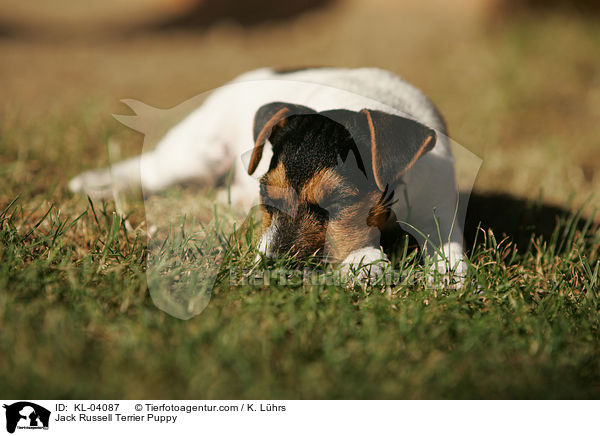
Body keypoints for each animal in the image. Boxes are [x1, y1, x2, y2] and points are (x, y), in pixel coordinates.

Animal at [68, 65, 466, 282]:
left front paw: (449, 278)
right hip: (195, 156)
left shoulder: (439, 206)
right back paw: (96, 185)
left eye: (340, 201)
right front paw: (367, 263)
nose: (273, 267)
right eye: (268, 196)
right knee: (147, 171)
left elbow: (448, 244)